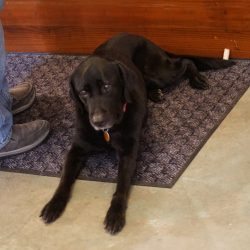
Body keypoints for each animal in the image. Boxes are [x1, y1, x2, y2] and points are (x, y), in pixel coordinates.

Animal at [40, 32, 235, 234]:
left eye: (107, 86)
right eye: (83, 92)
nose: (98, 121)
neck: (108, 131)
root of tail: (137, 35)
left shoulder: (128, 152)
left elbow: (121, 185)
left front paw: (115, 214)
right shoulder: (76, 149)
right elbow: (64, 179)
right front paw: (54, 204)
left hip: (160, 73)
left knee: (186, 62)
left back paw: (196, 79)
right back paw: (155, 94)